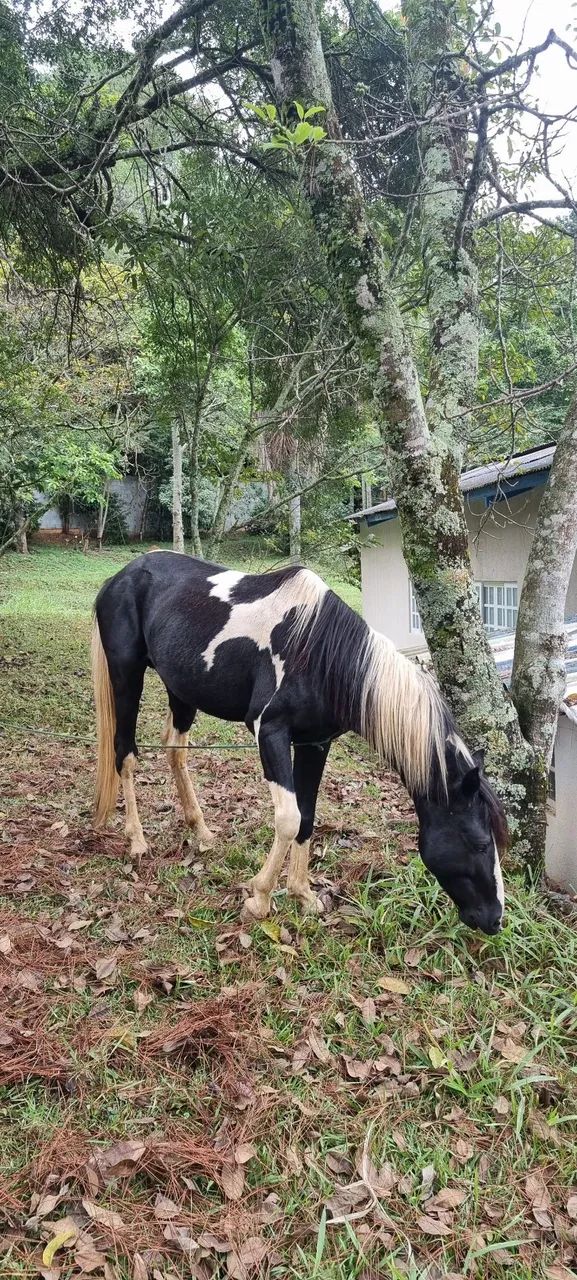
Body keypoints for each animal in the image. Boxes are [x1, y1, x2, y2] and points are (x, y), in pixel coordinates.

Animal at [91, 551, 507, 935]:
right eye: (480, 844)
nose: (495, 919)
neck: (319, 653)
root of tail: (121, 576)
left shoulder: (315, 743)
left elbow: (307, 816)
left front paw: (302, 895)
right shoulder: (270, 733)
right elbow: (289, 818)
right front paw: (259, 899)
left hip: (181, 689)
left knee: (175, 750)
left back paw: (202, 832)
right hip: (126, 676)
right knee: (125, 754)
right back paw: (137, 840)